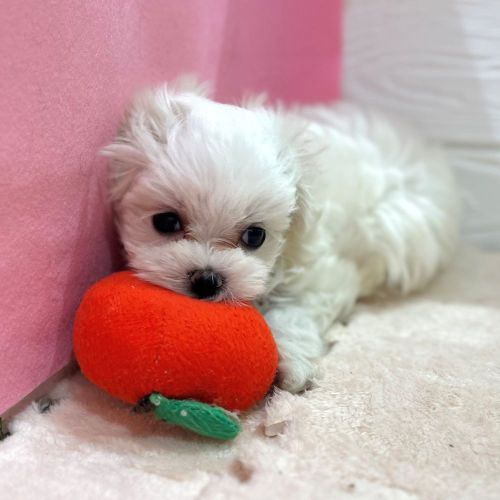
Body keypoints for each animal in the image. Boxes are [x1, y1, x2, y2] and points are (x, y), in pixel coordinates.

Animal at [102, 77, 460, 393]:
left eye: (255, 236)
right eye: (166, 222)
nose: (207, 280)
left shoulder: (323, 276)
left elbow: (296, 313)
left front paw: (292, 365)